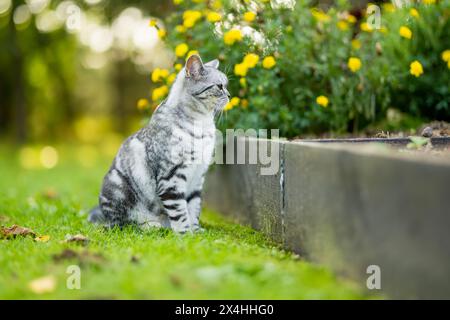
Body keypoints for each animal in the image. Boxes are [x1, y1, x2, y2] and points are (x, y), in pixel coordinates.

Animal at [89, 55, 229, 232]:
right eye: (219, 86)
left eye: (226, 85)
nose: (229, 95)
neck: (202, 123)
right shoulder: (171, 178)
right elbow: (180, 212)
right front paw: (185, 234)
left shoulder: (198, 177)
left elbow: (193, 207)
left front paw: (196, 231)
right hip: (116, 187)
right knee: (124, 223)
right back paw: (151, 226)